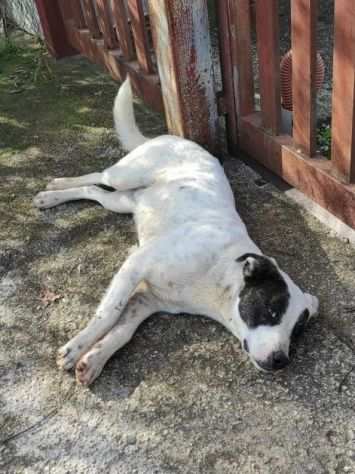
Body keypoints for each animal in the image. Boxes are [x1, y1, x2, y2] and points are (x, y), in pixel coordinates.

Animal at [34, 78, 320, 386]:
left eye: (297, 331)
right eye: (271, 310)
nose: (281, 361)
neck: (219, 276)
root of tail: (175, 138)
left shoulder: (146, 301)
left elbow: (122, 331)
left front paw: (94, 359)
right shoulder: (137, 263)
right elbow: (108, 314)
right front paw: (76, 347)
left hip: (123, 201)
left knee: (95, 192)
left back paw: (53, 196)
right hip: (125, 176)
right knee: (97, 176)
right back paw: (55, 186)